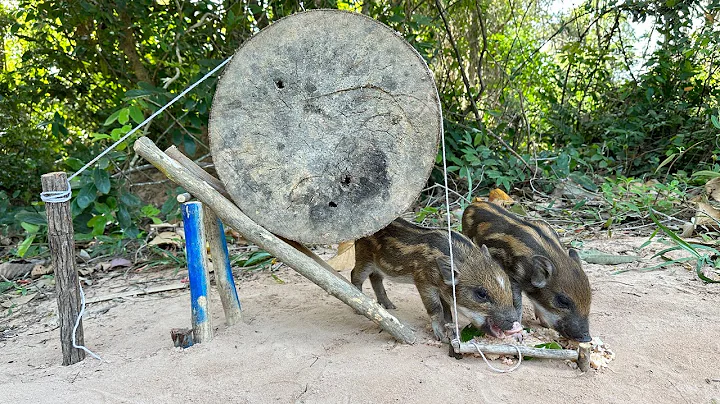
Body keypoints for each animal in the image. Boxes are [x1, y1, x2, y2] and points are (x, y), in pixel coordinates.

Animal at [352, 218, 521, 341]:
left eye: (508, 286)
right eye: (481, 294)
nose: (516, 323)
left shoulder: (441, 287)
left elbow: (447, 309)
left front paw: (451, 332)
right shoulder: (422, 281)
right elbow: (436, 307)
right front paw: (441, 337)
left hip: (378, 266)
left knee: (375, 278)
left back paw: (390, 306)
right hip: (364, 257)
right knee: (355, 275)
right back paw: (358, 309)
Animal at [462, 201, 592, 342]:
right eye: (562, 301)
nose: (587, 338)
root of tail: (473, 204)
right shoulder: (512, 277)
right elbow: (516, 304)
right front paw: (518, 335)